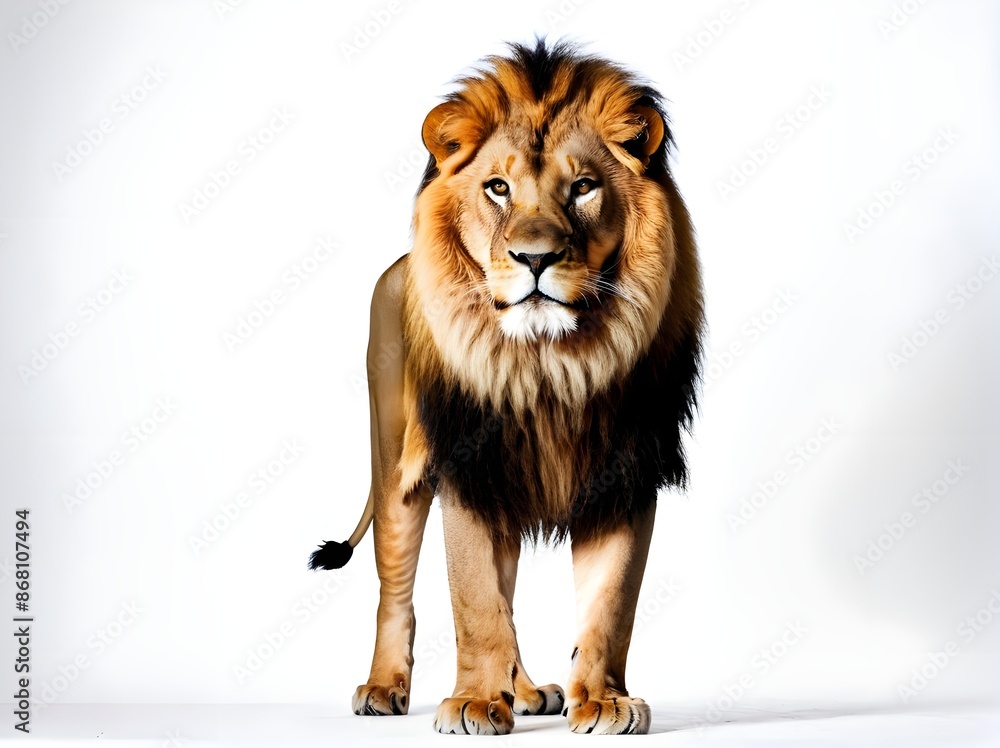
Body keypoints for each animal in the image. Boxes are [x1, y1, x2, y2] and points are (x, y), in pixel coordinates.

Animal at [309, 39, 703, 735]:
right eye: (498, 187)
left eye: (583, 187)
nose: (535, 258)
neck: (547, 364)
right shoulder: (468, 464)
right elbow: (474, 599)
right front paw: (473, 701)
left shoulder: (624, 470)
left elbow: (610, 602)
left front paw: (602, 701)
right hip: (396, 466)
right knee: (396, 588)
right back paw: (384, 688)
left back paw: (524, 690)